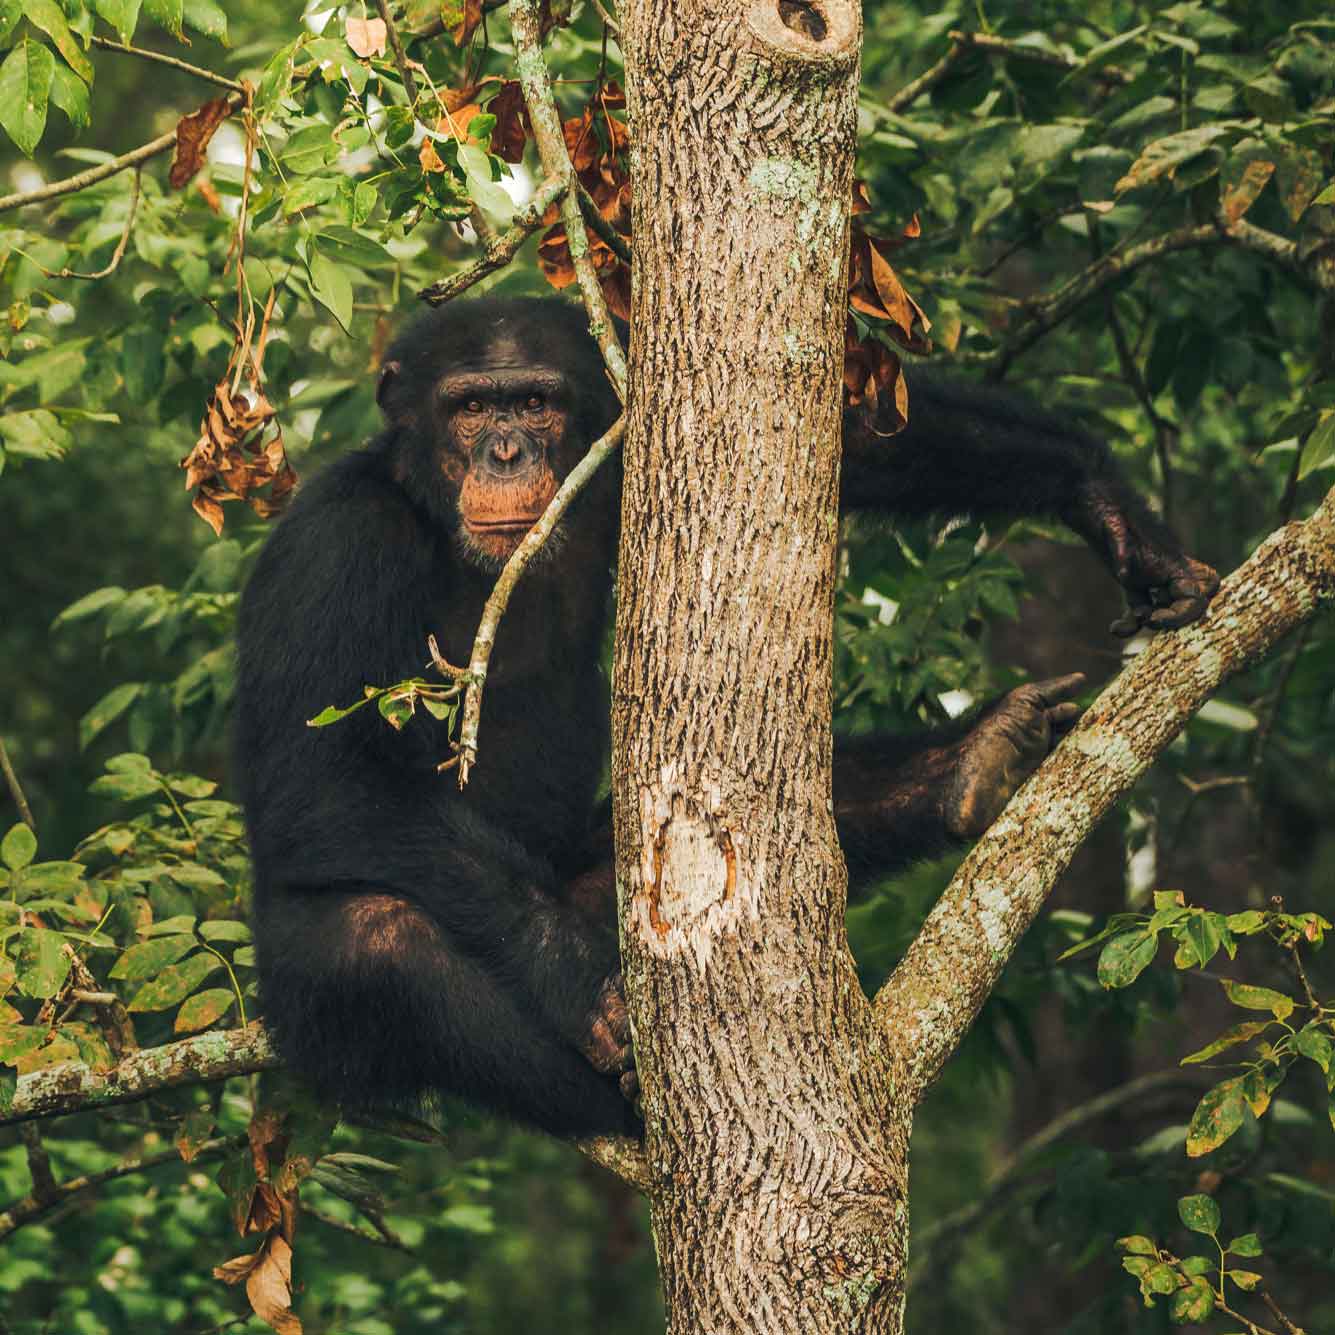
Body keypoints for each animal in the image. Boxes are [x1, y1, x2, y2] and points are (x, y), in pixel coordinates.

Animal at [234, 300, 1217, 1137]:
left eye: (534, 402)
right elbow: (319, 779)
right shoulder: (334, 548)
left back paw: (971, 763)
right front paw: (576, 982)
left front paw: (1107, 507)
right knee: (372, 938)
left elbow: (851, 444)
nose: (506, 451)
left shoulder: (618, 457)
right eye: (470, 406)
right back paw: (621, 1089)